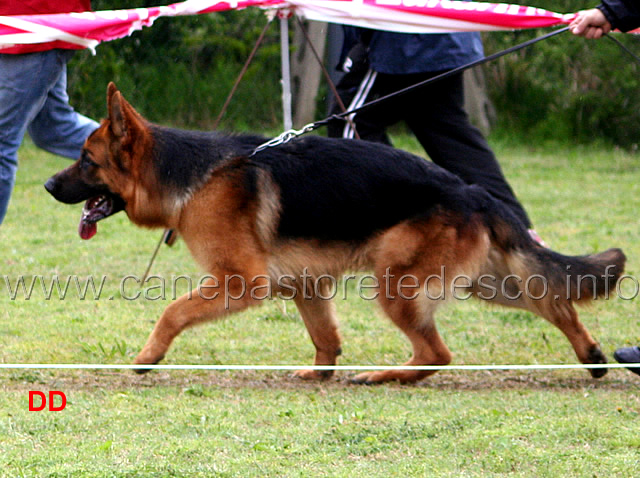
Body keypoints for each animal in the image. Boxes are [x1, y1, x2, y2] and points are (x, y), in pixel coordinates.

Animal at [46, 85, 624, 384]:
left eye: (86, 160)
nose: (49, 184)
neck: (193, 175)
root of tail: (472, 192)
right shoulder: (306, 284)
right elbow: (325, 336)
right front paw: (320, 374)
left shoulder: (241, 282)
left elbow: (171, 312)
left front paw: (147, 357)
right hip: (488, 282)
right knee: (555, 302)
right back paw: (592, 357)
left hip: (398, 286)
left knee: (438, 353)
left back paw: (386, 376)